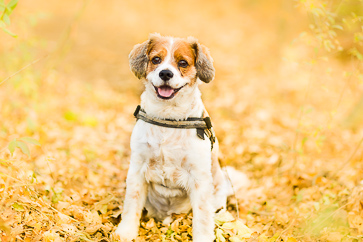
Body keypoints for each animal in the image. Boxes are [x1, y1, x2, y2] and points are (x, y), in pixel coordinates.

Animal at [116, 33, 247, 241]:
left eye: (183, 63)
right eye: (156, 60)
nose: (165, 74)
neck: (168, 119)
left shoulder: (199, 178)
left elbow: (202, 217)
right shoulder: (137, 169)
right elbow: (132, 204)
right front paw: (126, 232)